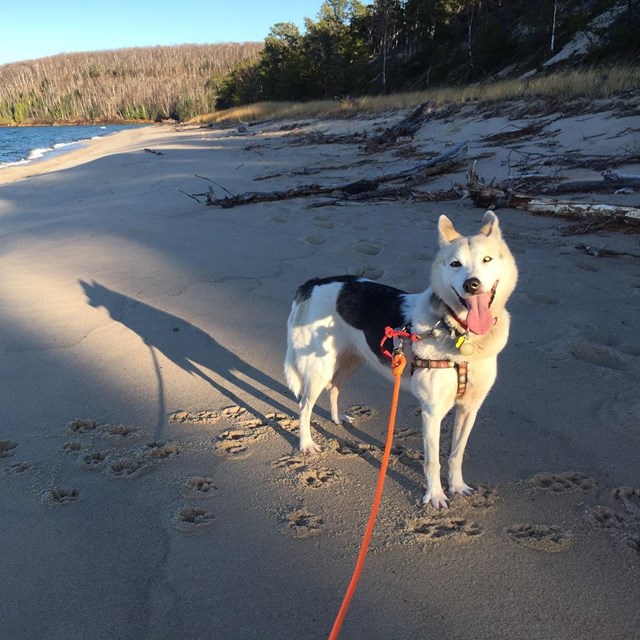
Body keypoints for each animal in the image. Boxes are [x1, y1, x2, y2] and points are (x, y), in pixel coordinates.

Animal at [282, 212, 516, 508]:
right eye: (455, 264)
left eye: (487, 259)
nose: (471, 284)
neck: (459, 334)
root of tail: (313, 283)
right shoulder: (432, 412)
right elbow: (432, 461)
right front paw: (435, 495)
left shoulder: (469, 408)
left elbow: (456, 454)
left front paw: (457, 486)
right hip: (318, 369)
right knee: (304, 406)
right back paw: (306, 444)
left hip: (351, 359)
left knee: (334, 388)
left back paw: (337, 418)